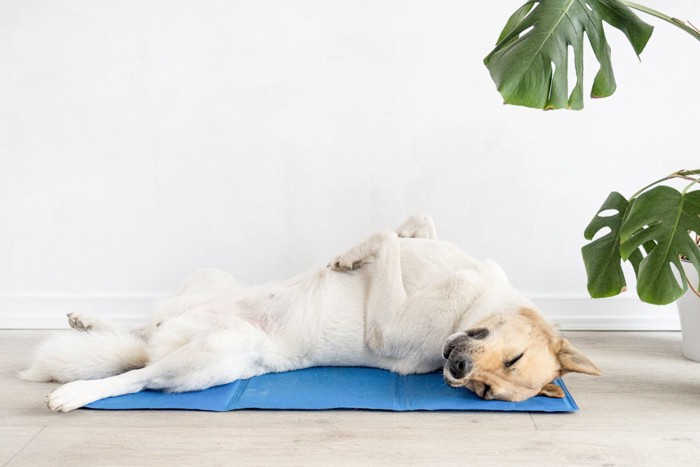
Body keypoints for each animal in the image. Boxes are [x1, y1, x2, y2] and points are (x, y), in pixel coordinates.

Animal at [21, 214, 600, 412]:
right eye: (511, 360)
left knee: (138, 373)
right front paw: (360, 252)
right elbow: (411, 225)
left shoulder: (388, 326)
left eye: (484, 391)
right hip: (211, 280)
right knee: (141, 332)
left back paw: (76, 394)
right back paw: (87, 322)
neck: (479, 298)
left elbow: (386, 237)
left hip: (218, 351)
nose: (456, 372)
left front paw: (351, 255)